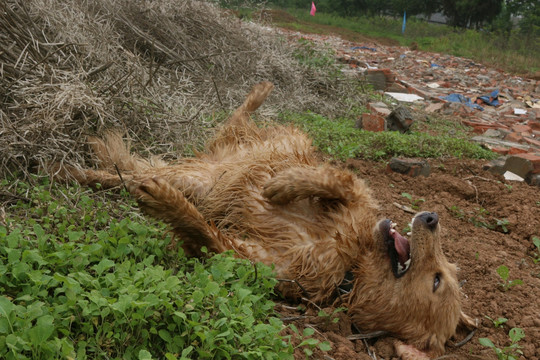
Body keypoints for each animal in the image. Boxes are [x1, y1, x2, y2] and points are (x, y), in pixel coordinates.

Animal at [57, 82, 474, 360]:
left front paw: (166, 204)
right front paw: (281, 185)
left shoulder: (261, 263)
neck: (352, 263)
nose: (432, 217)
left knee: (129, 174)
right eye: (447, 271)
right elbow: (339, 181)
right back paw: (259, 94)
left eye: (438, 279)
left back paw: (81, 172)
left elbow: (204, 234)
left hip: (194, 178)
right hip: (214, 162)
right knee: (233, 121)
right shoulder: (355, 202)